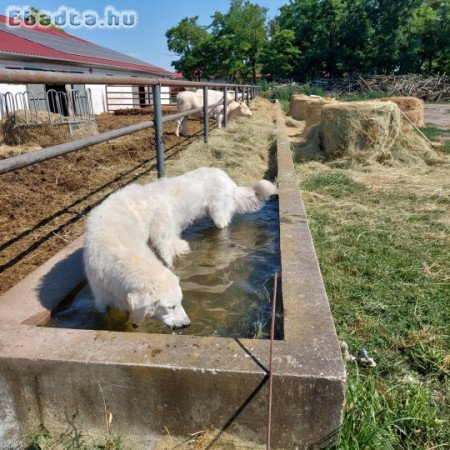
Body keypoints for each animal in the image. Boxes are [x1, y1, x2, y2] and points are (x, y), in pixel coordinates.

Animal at [82, 167, 276, 328]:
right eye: (171, 307)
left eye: (178, 304)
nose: (187, 324)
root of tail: (228, 179)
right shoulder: (101, 298)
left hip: (212, 220)